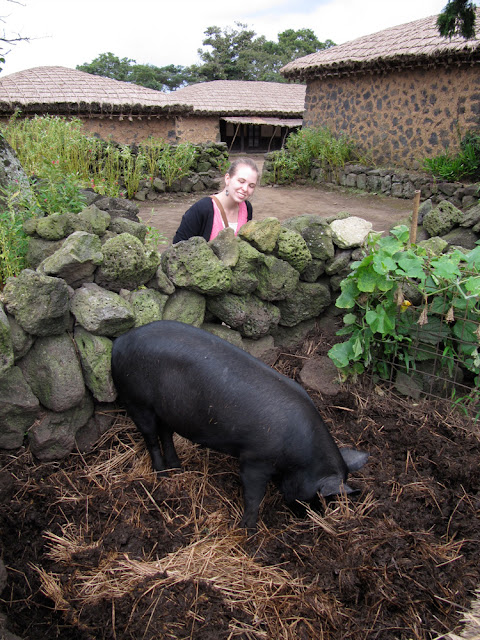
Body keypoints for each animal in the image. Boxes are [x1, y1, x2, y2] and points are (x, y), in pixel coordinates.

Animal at [111, 322, 368, 528]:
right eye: (320, 497)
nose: (307, 516)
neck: (300, 457)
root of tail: (119, 342)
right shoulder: (254, 458)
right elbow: (253, 496)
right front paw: (247, 529)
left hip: (167, 409)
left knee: (165, 433)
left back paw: (177, 468)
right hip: (136, 400)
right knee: (150, 437)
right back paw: (162, 474)